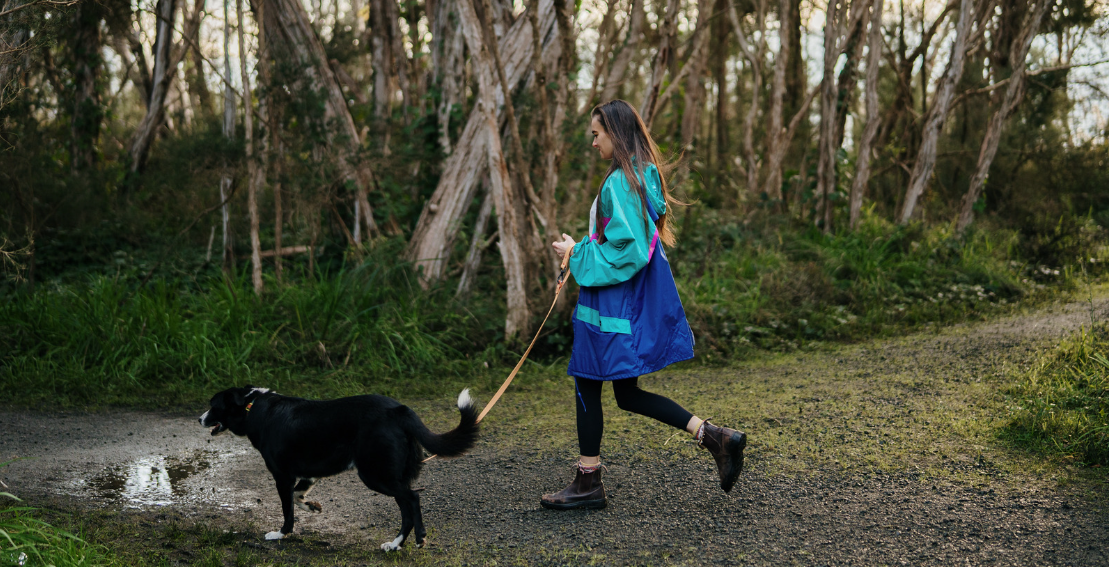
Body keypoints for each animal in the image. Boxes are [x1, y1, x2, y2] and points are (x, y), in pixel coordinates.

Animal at [199, 386, 476, 550]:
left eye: (213, 405)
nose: (200, 419)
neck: (253, 407)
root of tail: (400, 410)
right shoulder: (308, 474)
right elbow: (298, 496)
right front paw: (312, 506)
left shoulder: (282, 476)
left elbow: (287, 509)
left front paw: (281, 534)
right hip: (388, 475)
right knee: (406, 507)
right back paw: (395, 544)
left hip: (375, 474)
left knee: (413, 498)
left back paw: (419, 537)